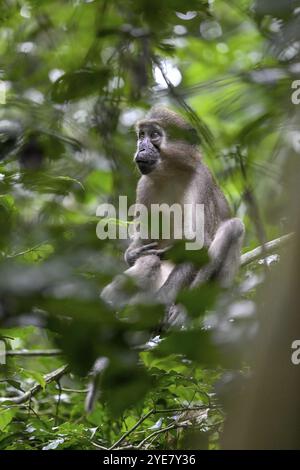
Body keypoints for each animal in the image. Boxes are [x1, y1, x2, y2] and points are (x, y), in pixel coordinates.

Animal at [101, 106, 244, 326]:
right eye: (141, 136)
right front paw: (133, 254)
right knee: (150, 262)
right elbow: (142, 246)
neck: (170, 174)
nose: (141, 148)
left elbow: (198, 245)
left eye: (154, 135)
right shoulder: (143, 185)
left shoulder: (200, 178)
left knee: (233, 227)